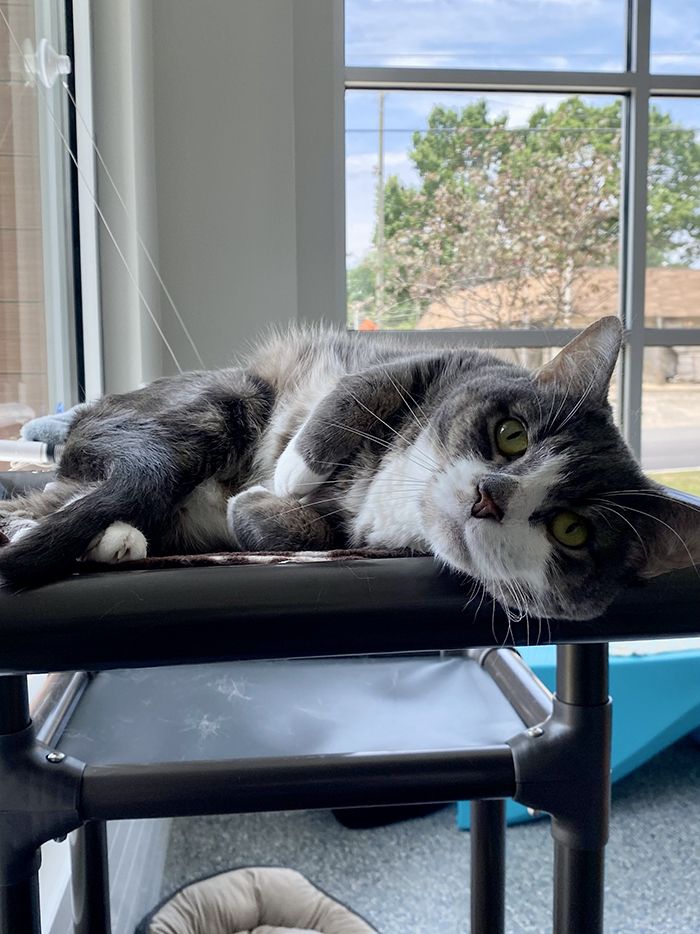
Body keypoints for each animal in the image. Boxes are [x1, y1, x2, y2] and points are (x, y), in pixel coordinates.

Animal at [0, 316, 697, 620]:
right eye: (511, 435)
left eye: (572, 532)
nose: (490, 496)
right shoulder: (428, 362)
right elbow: (355, 393)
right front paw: (289, 471)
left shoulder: (362, 535)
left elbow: (300, 528)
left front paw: (257, 507)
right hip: (215, 408)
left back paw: (113, 539)